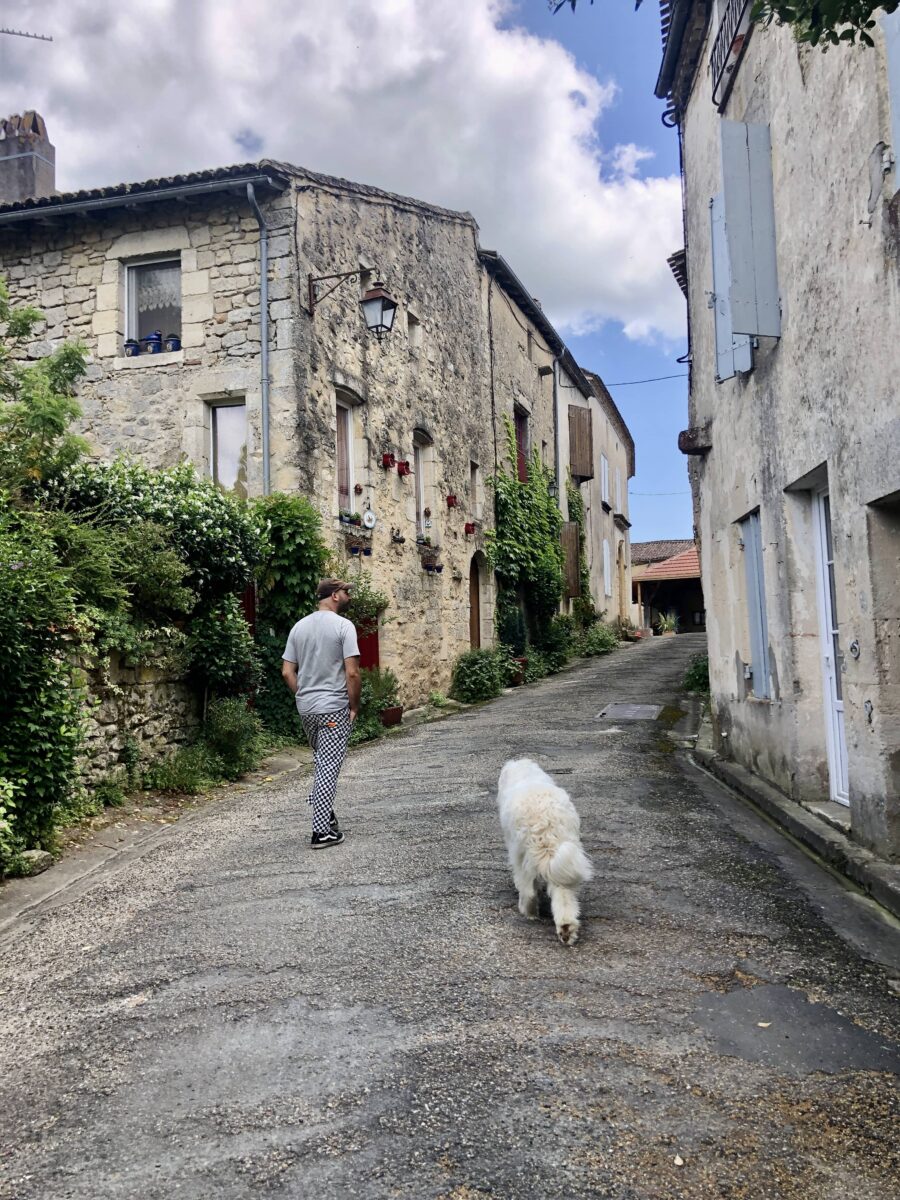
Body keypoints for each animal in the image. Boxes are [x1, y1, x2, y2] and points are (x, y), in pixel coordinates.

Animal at [496, 758, 595, 945]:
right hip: (563, 858)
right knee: (564, 897)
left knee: (528, 890)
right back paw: (566, 929)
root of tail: (546, 823)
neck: (526, 775)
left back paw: (529, 912)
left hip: (523, 855)